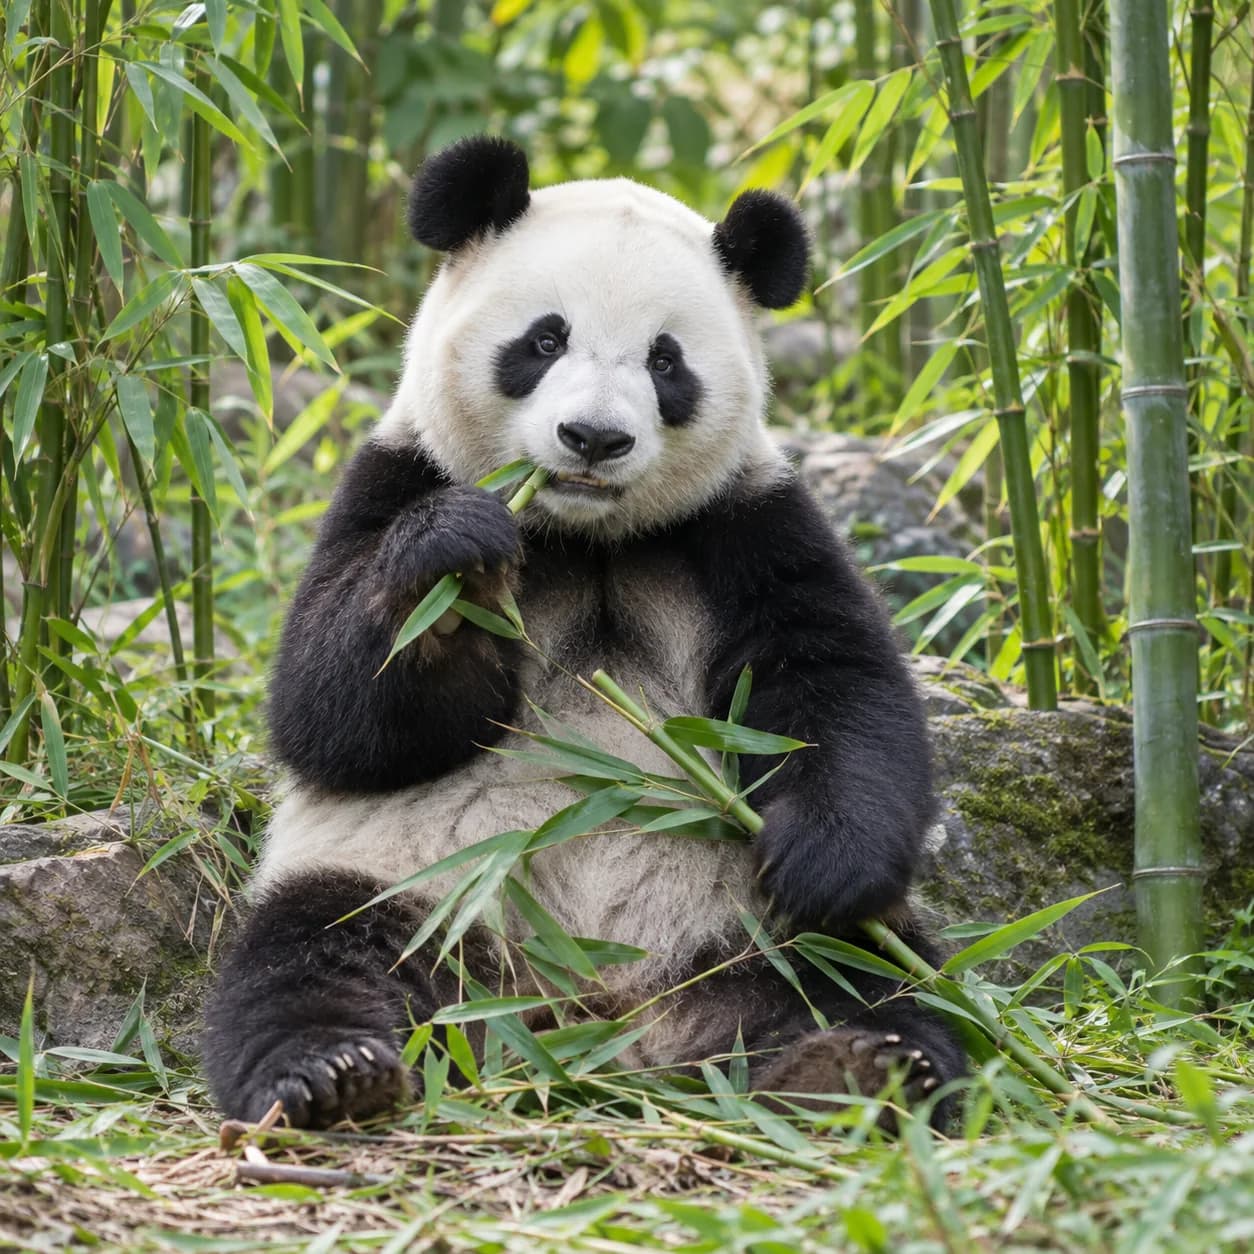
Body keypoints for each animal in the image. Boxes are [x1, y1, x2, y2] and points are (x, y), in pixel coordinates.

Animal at [202, 136, 965, 1130]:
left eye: (666, 362)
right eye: (544, 340)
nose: (594, 438)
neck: (584, 536)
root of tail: (594, 1013)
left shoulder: (744, 525)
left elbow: (835, 685)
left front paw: (823, 859)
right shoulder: (397, 478)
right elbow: (332, 715)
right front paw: (453, 564)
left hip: (738, 918)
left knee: (862, 974)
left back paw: (859, 1070)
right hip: (414, 885)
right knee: (314, 955)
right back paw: (333, 1074)